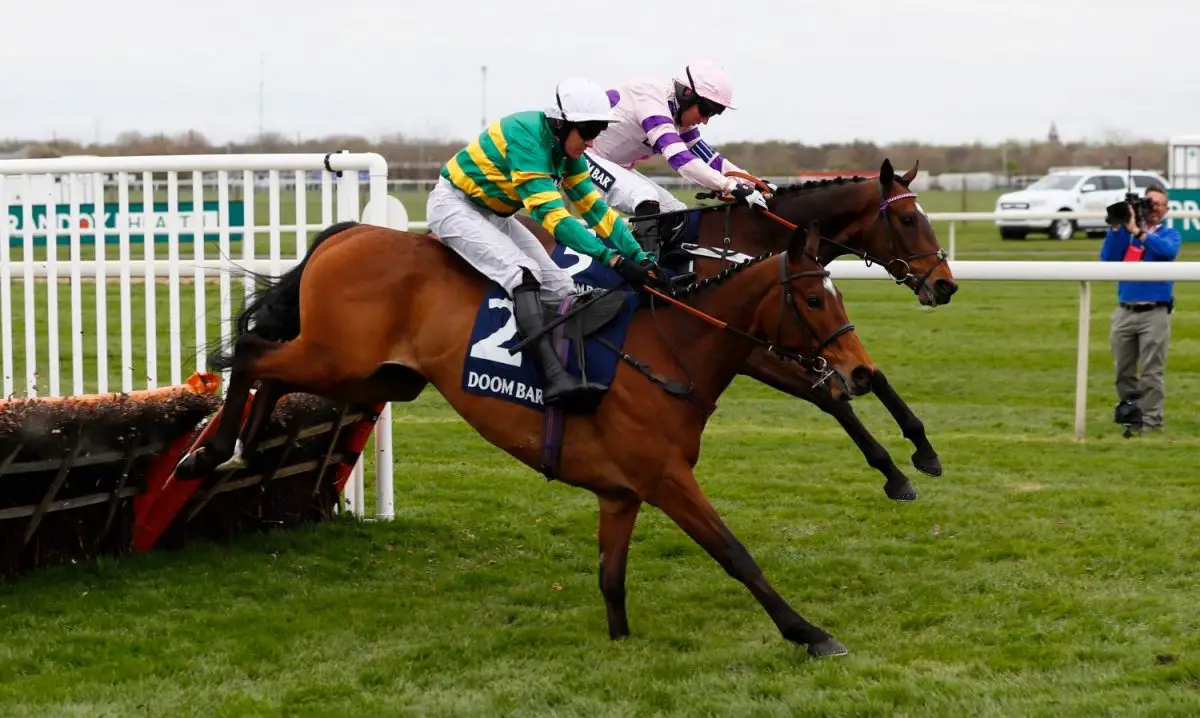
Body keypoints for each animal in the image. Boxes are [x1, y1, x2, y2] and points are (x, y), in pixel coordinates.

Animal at [175, 217, 874, 656]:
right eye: (815, 301)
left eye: (840, 295)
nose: (860, 373)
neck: (668, 351)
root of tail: (352, 233)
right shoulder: (666, 478)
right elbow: (735, 553)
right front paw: (810, 633)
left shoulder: (621, 493)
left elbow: (611, 576)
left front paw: (621, 643)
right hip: (337, 356)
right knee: (254, 352)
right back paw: (206, 452)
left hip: (374, 375)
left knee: (267, 368)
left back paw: (234, 451)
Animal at [517, 158, 956, 502]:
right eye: (908, 219)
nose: (945, 284)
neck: (747, 245)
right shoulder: (753, 348)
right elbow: (830, 398)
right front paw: (894, 474)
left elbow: (869, 373)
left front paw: (924, 448)